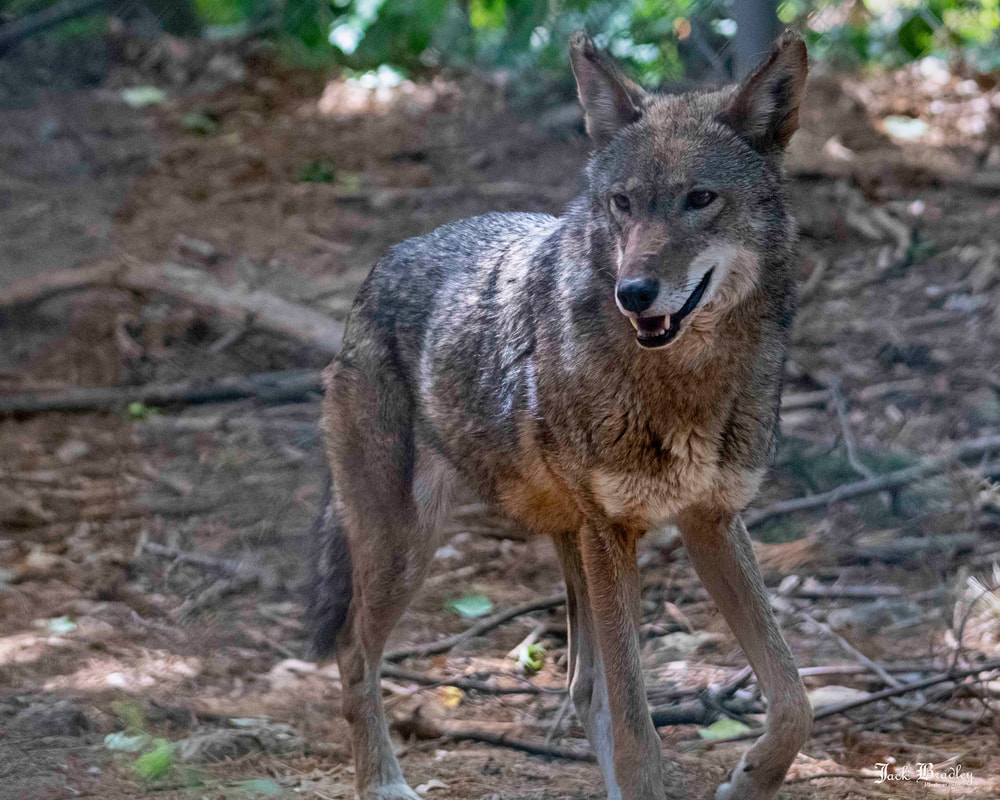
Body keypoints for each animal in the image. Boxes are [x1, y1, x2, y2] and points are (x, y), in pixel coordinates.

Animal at [308, 31, 813, 800]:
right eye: (622, 202)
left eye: (699, 199)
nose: (634, 292)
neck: (681, 384)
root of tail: (380, 267)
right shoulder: (616, 531)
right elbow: (638, 735)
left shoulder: (711, 522)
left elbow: (793, 698)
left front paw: (750, 780)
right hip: (406, 547)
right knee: (353, 654)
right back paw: (384, 783)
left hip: (565, 543)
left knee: (582, 686)